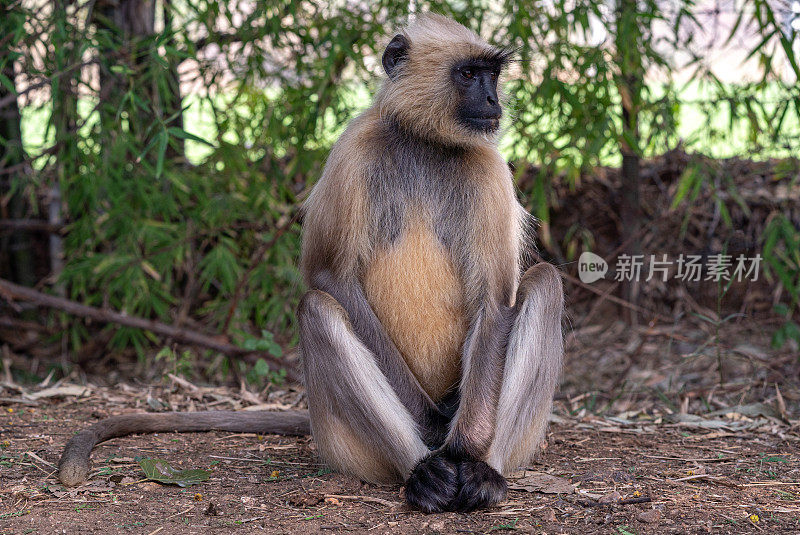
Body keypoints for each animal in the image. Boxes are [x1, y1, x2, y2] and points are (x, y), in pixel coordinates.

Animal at [56, 13, 564, 516]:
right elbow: (328, 276)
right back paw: (423, 472)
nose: (493, 100)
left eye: (491, 74)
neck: (424, 142)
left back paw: (481, 473)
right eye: (468, 74)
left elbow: (493, 305)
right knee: (316, 308)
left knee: (544, 282)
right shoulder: (353, 148)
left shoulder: (488, 165)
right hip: (343, 444)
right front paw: (434, 430)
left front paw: (464, 449)